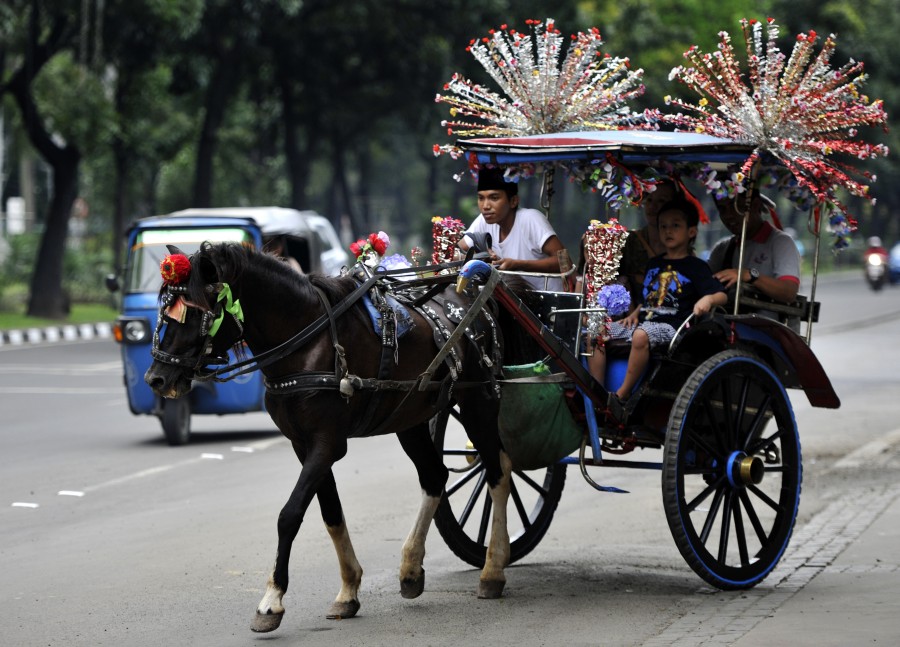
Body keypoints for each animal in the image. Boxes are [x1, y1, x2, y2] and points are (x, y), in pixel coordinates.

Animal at [145, 242, 516, 632]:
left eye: (193, 313)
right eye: (165, 311)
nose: (156, 378)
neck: (308, 342)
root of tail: (473, 292)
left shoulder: (327, 443)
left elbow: (290, 515)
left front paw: (271, 600)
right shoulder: (303, 445)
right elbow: (331, 514)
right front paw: (348, 591)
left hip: (478, 400)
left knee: (497, 471)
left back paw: (493, 568)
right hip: (409, 417)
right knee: (436, 476)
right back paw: (411, 568)